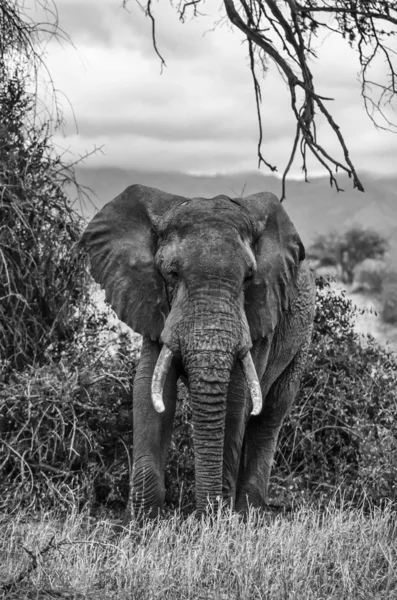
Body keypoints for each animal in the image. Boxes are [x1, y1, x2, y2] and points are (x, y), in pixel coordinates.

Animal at [80, 185, 314, 524]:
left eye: (249, 278)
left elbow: (237, 397)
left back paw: (249, 515)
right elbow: (150, 389)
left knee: (270, 414)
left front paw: (217, 522)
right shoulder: (152, 303)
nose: (205, 516)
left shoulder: (260, 314)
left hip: (301, 341)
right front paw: (143, 523)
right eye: (172, 273)